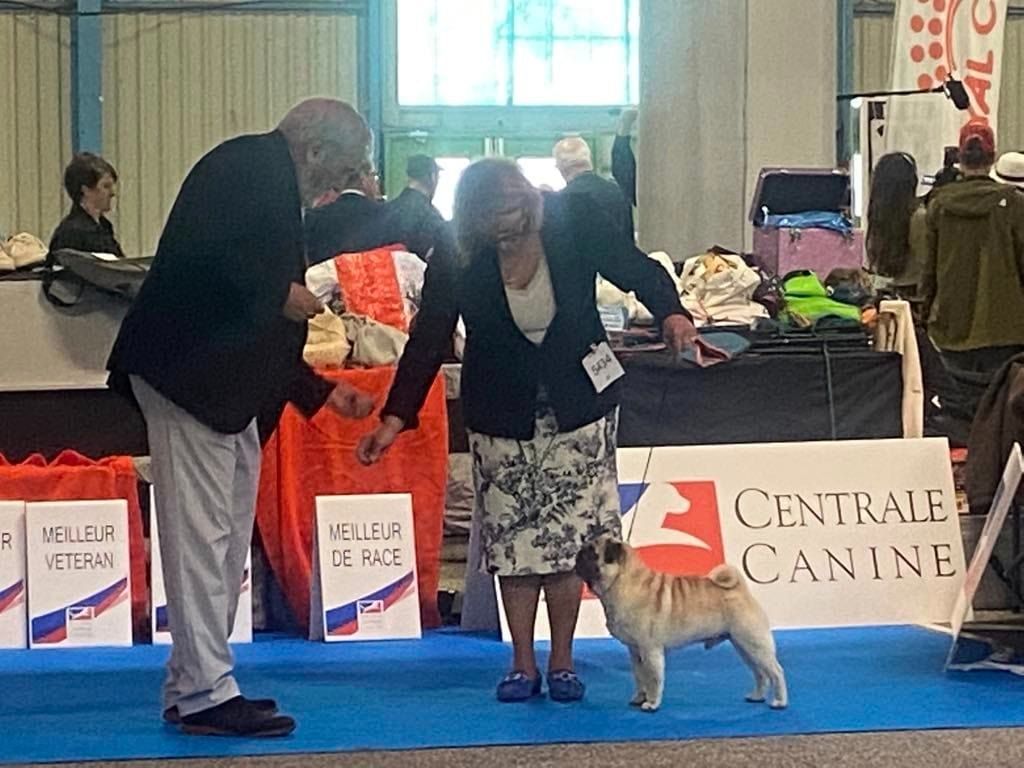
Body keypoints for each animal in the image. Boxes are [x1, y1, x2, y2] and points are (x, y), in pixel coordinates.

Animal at [573, 536, 786, 712]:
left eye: (592, 553)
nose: (577, 554)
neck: (624, 583)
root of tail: (739, 589)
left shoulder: (650, 650)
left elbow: (653, 679)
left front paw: (651, 703)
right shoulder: (635, 651)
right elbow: (640, 677)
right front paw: (639, 698)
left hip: (753, 643)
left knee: (776, 672)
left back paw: (779, 702)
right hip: (743, 646)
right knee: (760, 673)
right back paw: (757, 696)